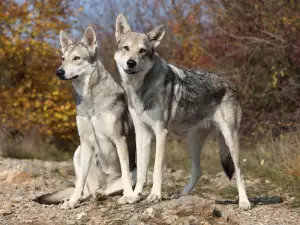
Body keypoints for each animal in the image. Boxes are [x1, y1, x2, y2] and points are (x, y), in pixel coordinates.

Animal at [34, 25, 136, 209]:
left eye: (76, 58)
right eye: (63, 59)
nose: (58, 72)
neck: (89, 99)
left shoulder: (119, 139)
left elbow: (125, 173)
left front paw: (129, 197)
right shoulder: (86, 141)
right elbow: (80, 180)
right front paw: (72, 202)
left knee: (109, 188)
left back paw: (103, 194)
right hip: (78, 151)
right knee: (86, 190)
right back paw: (78, 197)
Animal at [113, 13, 252, 211]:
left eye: (142, 51)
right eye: (126, 48)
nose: (131, 63)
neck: (140, 88)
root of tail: (230, 84)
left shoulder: (161, 133)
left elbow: (156, 169)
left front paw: (155, 195)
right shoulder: (142, 133)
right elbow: (140, 171)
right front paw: (134, 196)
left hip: (230, 139)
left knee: (239, 171)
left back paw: (244, 202)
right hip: (193, 142)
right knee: (198, 171)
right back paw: (181, 195)